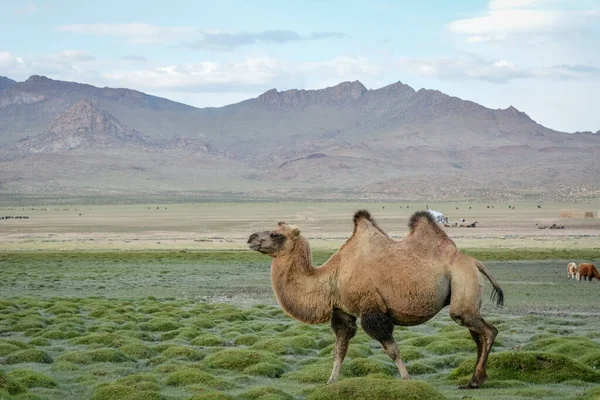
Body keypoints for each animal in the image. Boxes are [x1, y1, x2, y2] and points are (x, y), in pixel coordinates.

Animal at [246, 209, 504, 388]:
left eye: (275, 234)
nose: (250, 238)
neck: (332, 277)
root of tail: (474, 261)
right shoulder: (343, 312)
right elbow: (340, 349)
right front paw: (331, 381)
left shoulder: (371, 308)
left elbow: (392, 349)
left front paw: (406, 379)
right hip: (467, 296)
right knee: (478, 334)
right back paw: (475, 379)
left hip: (463, 285)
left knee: (488, 331)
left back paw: (475, 380)